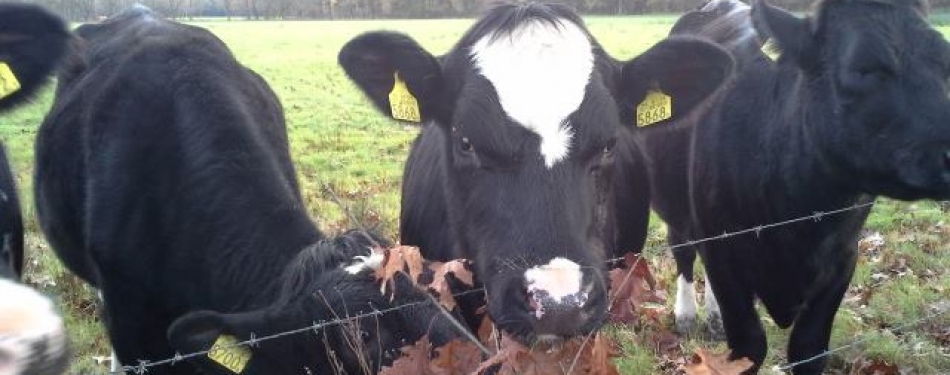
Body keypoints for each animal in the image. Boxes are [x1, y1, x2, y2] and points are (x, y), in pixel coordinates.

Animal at [624, 0, 950, 374]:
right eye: (863, 68)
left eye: (945, 63)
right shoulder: (723, 251)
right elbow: (749, 347)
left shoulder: (842, 259)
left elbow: (809, 349)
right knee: (684, 251)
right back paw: (687, 313)